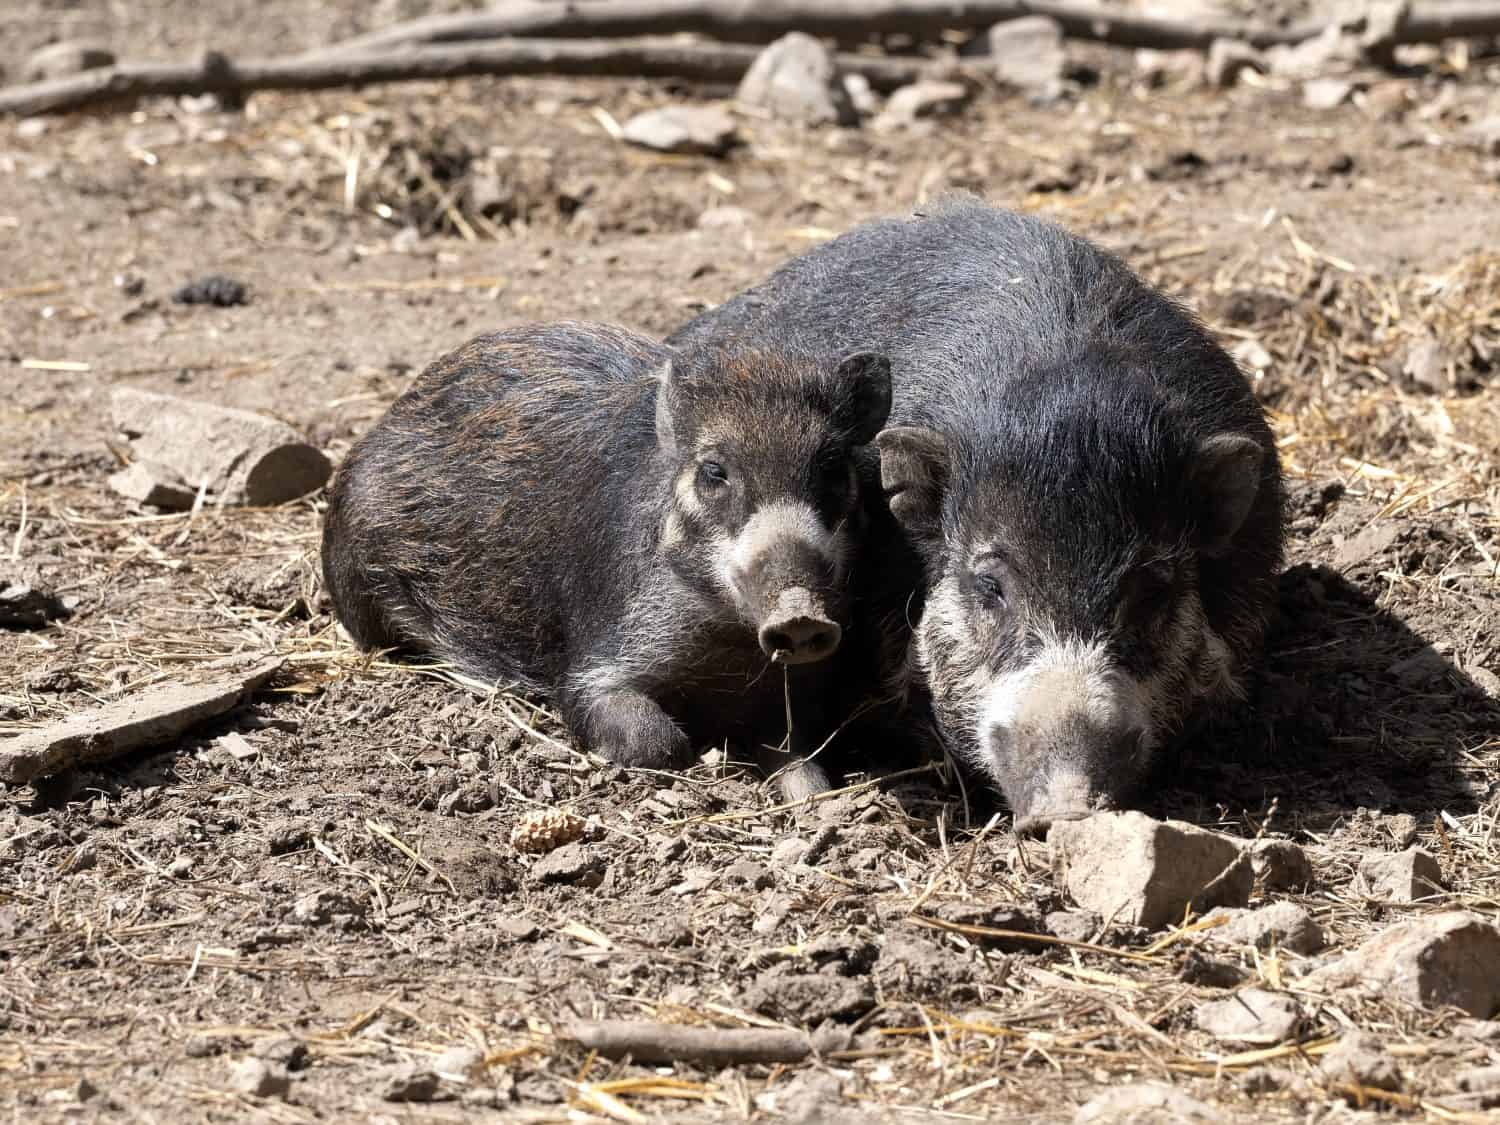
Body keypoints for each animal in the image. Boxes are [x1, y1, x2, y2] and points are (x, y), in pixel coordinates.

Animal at [320, 322, 897, 799]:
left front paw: (812, 793)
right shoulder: (596, 661)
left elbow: (803, 757)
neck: (725, 648)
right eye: (714, 471)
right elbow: (653, 739)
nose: (800, 614)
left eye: (831, 465)